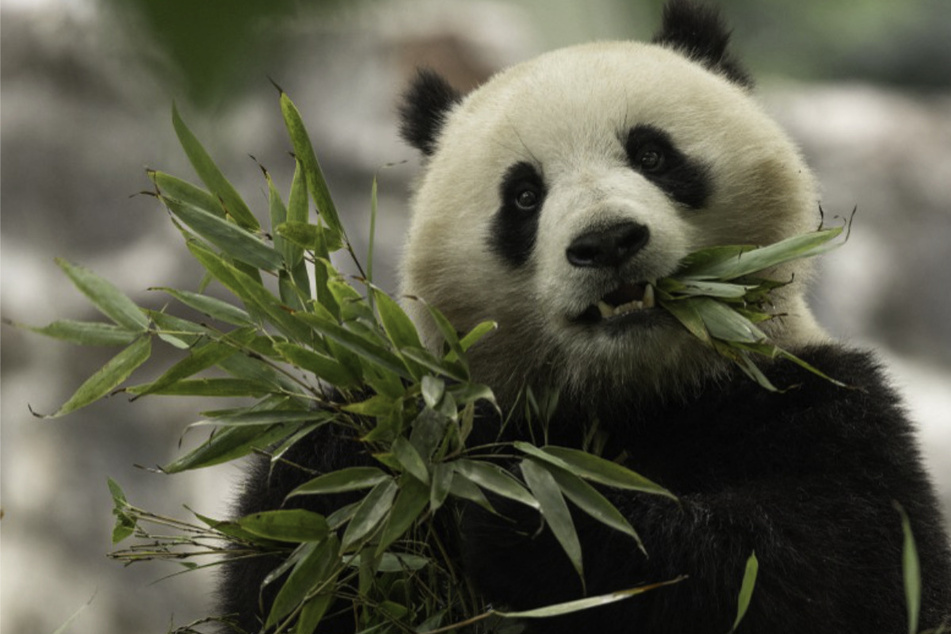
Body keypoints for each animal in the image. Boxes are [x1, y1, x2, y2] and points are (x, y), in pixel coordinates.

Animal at [223, 2, 951, 628]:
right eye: (522, 195)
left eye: (652, 154)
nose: (607, 242)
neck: (633, 393)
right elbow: (288, 566)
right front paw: (360, 453)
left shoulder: (816, 400)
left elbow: (828, 565)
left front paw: (530, 506)